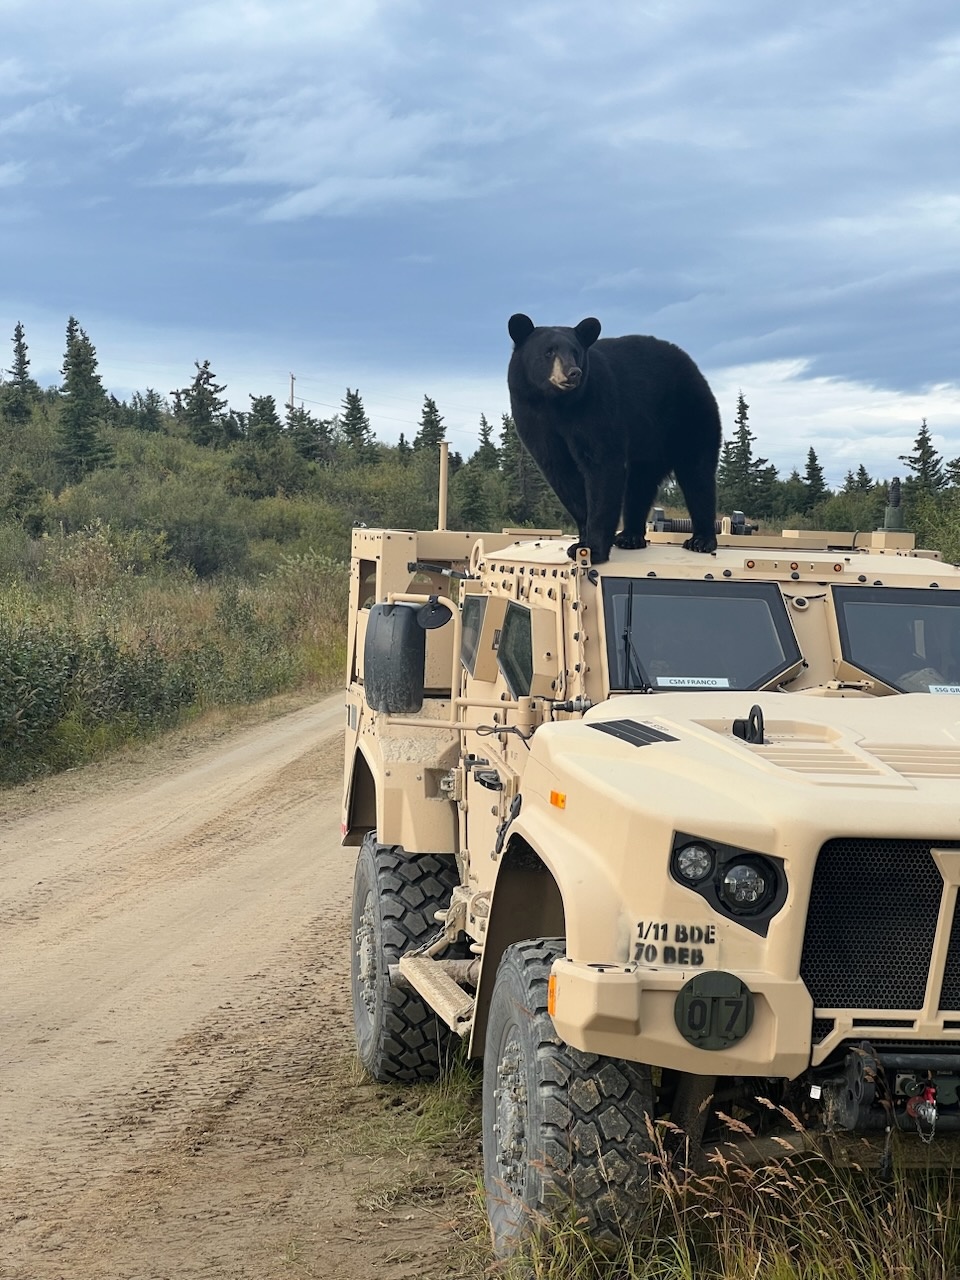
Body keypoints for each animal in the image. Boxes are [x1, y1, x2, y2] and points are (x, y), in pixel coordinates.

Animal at [512, 313, 721, 560]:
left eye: (575, 351)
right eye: (548, 351)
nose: (573, 373)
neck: (556, 404)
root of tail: (694, 368)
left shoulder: (596, 406)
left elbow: (602, 467)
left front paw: (593, 548)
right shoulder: (534, 420)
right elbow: (563, 475)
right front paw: (582, 540)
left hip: (688, 416)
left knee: (697, 474)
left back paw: (701, 540)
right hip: (649, 443)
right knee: (640, 483)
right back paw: (630, 536)